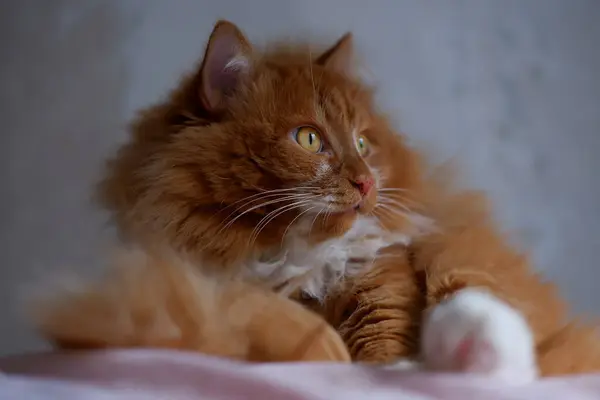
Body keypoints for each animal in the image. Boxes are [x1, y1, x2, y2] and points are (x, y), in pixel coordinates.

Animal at [31, 20, 600, 380]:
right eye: (309, 139)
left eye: (364, 143)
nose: (367, 182)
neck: (292, 257)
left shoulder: (383, 280)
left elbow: (385, 343)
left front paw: (397, 365)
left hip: (461, 265)